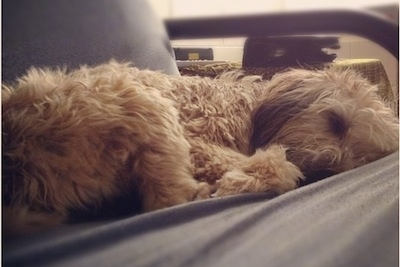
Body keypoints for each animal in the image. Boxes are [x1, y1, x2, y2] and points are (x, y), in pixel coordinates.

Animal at [3, 60, 400, 234]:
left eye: (363, 157)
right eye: (336, 121)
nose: (326, 170)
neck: (249, 108)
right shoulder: (196, 138)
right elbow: (273, 167)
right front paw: (249, 177)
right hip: (142, 103)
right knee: (166, 200)